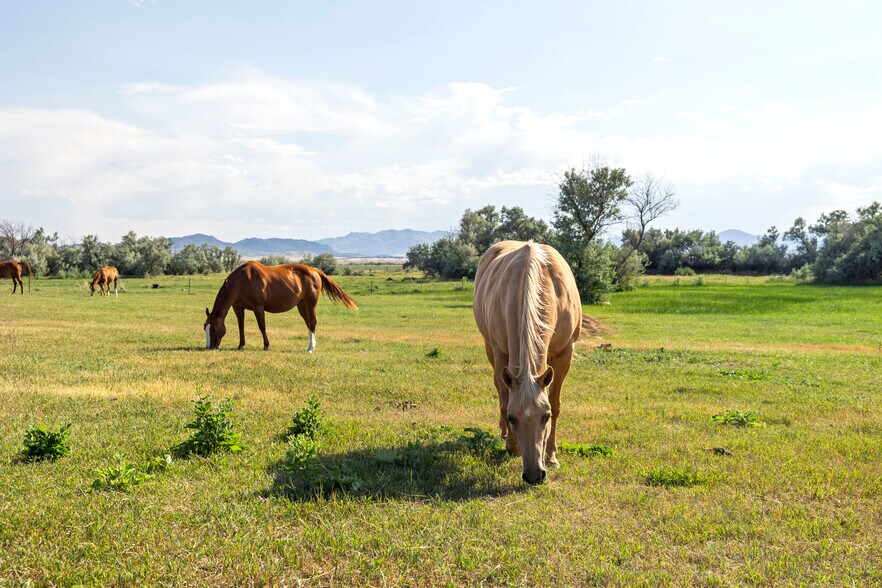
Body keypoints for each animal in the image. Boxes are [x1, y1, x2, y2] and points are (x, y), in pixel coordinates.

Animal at [204, 260, 357, 352]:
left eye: (214, 329)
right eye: (205, 327)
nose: (209, 347)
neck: (243, 280)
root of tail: (315, 270)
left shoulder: (258, 307)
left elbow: (262, 326)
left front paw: (266, 346)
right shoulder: (238, 307)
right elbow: (241, 326)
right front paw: (241, 345)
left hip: (310, 304)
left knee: (313, 323)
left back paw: (310, 348)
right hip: (301, 305)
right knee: (309, 323)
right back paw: (310, 346)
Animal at [473, 241, 583, 485]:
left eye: (545, 416)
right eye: (513, 418)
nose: (534, 475)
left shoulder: (565, 354)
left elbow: (556, 403)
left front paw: (551, 456)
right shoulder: (501, 355)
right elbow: (505, 401)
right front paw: (512, 446)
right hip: (489, 349)